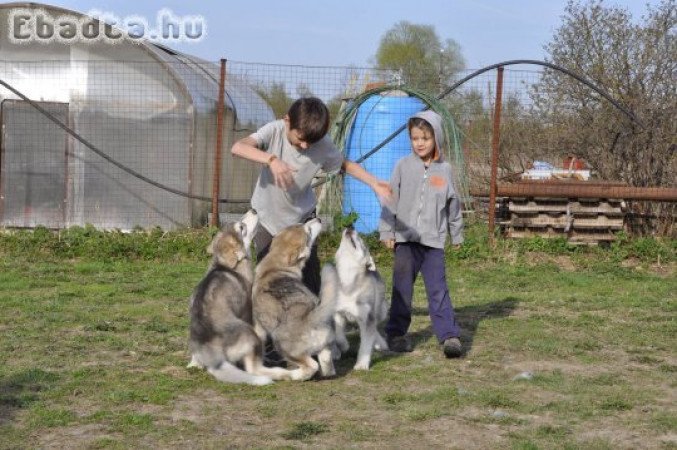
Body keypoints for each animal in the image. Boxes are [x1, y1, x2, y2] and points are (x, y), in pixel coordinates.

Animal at [187, 210, 294, 384]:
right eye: (241, 227)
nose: (253, 210)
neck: (224, 265)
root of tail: (213, 357)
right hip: (249, 335)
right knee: (254, 369)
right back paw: (279, 374)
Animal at [251, 220, 338, 382]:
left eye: (308, 231)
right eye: (306, 228)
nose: (318, 219)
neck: (276, 267)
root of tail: (312, 318)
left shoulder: (259, 324)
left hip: (282, 344)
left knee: (311, 366)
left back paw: (294, 375)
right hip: (325, 345)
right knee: (326, 362)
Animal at [324, 227, 388, 370]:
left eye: (361, 241)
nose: (350, 227)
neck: (348, 281)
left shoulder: (367, 318)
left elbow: (366, 343)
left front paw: (361, 365)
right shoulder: (338, 313)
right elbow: (338, 335)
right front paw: (343, 346)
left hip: (381, 310)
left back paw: (380, 343)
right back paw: (335, 352)